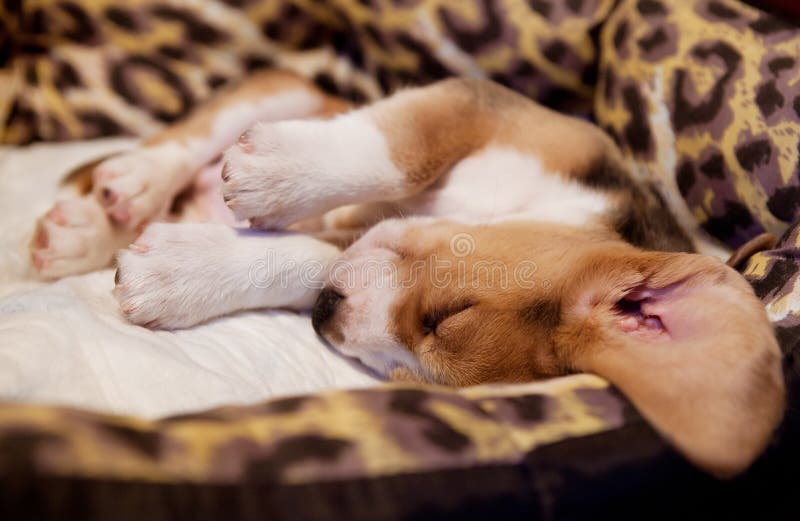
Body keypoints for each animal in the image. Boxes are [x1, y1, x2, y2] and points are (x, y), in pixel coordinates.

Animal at [28, 71, 784, 478]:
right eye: (450, 313)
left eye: (406, 376)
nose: (324, 315)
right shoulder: (484, 106)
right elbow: (401, 153)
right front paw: (278, 175)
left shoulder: (349, 245)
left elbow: (309, 254)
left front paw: (183, 270)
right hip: (290, 94)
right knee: (201, 129)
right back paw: (127, 187)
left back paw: (95, 226)